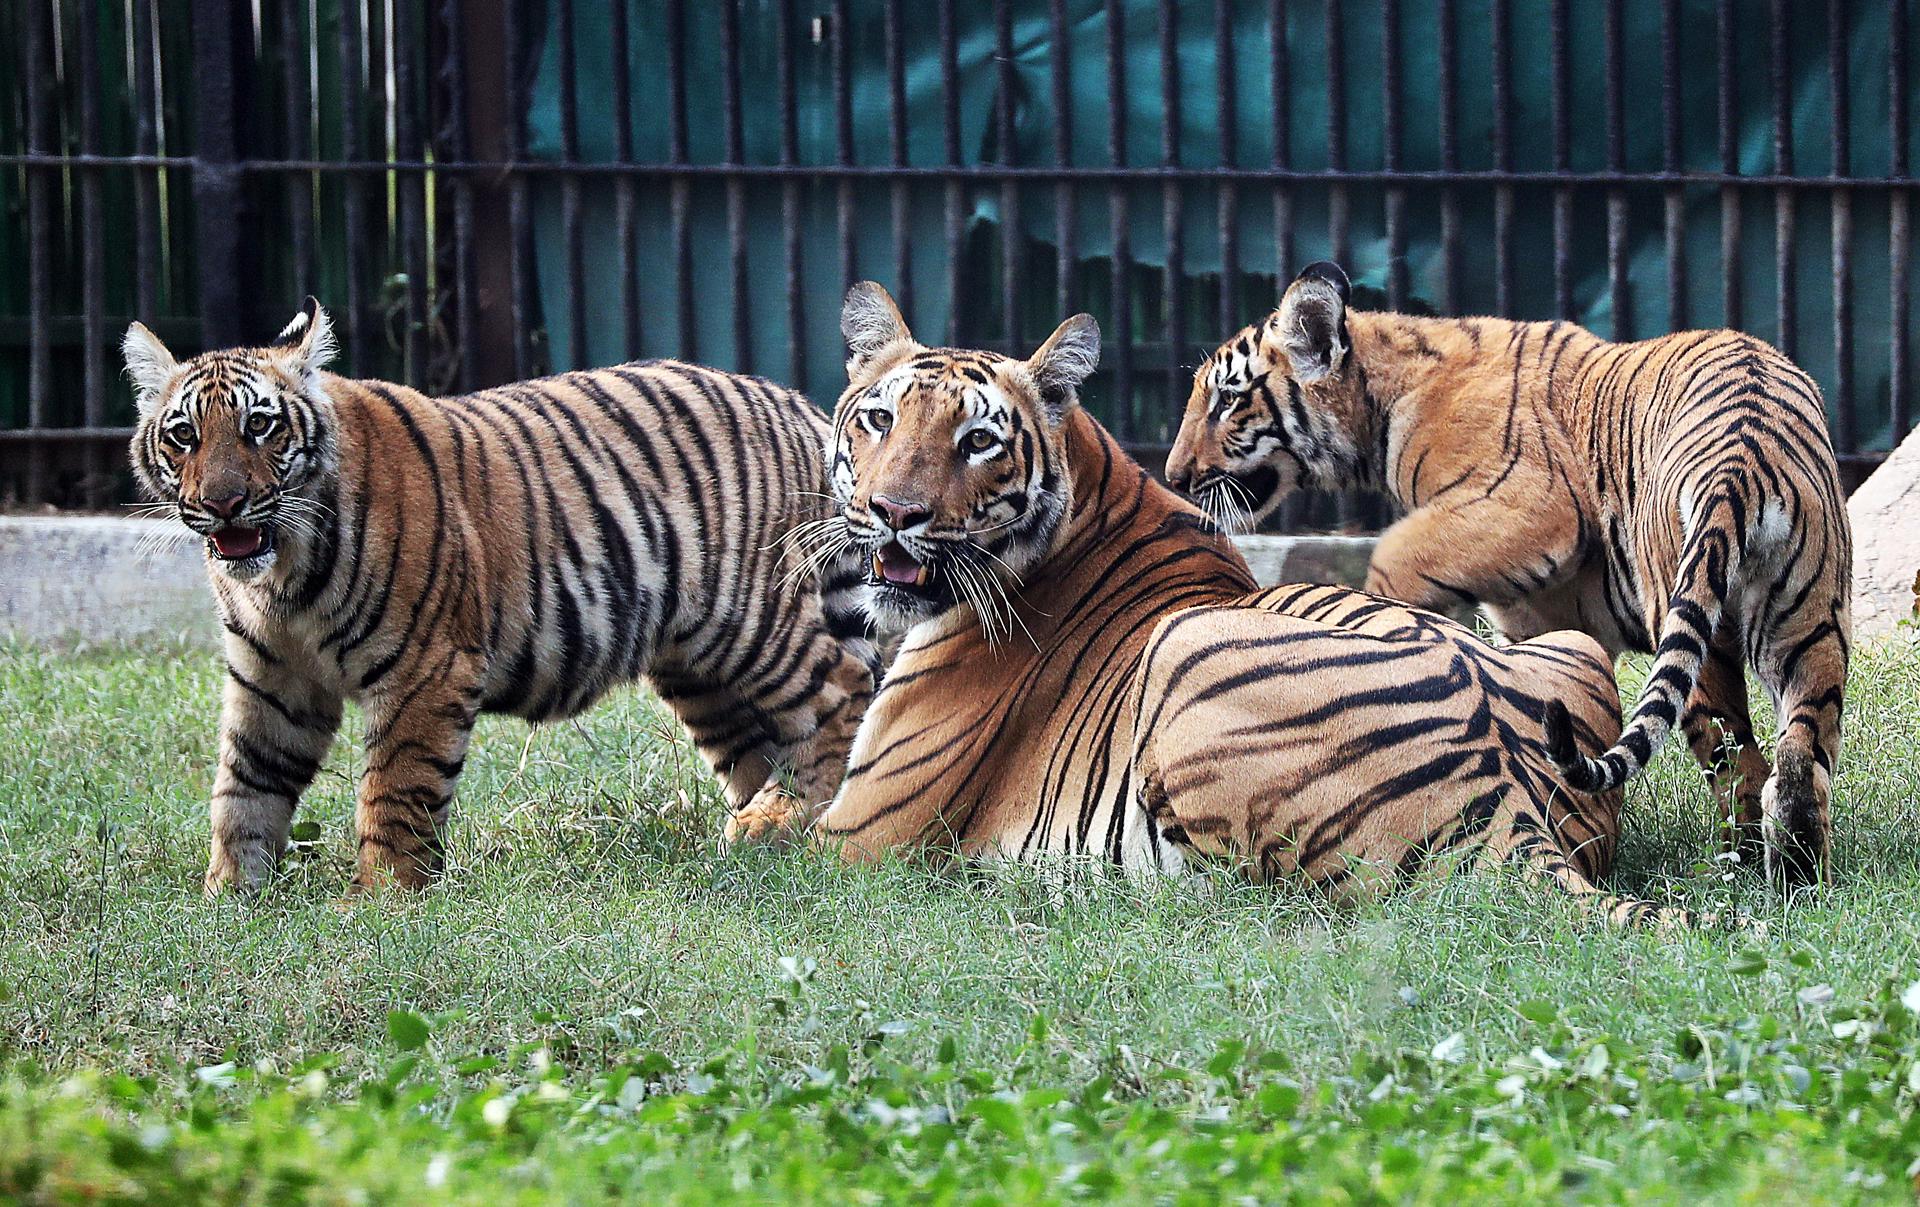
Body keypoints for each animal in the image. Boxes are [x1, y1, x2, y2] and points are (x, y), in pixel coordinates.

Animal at [120, 297, 871, 890]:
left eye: (260, 425)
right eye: (184, 435)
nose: (223, 504)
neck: (283, 578)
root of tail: (801, 406)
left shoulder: (425, 666)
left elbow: (394, 785)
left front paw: (382, 898)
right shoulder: (272, 677)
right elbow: (245, 787)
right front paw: (229, 896)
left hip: (747, 620)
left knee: (843, 689)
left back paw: (785, 818)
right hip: (699, 669)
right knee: (762, 742)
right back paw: (762, 832)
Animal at [725, 284, 1704, 932]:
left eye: (977, 442)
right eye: (878, 420)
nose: (894, 512)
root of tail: (1502, 787)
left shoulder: (863, 836)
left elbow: (752, 845)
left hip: (1186, 647)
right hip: (1569, 644)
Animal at [1159, 260, 1850, 886]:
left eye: (1227, 400)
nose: (1175, 476)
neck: (1379, 400)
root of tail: (1743, 449)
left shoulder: (1530, 506)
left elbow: (1396, 559)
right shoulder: (1540, 611)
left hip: (1695, 623)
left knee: (1742, 768)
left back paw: (1741, 871)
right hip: (1810, 621)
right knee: (1799, 761)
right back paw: (1798, 875)